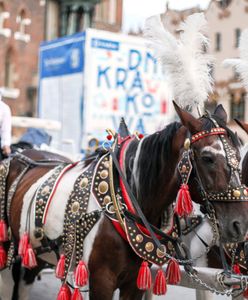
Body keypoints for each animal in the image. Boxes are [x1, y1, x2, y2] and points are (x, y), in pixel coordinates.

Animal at [0, 103, 248, 300]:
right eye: (207, 158)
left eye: (239, 154)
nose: (240, 225)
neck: (125, 201)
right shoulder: (101, 281)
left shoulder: (134, 281)